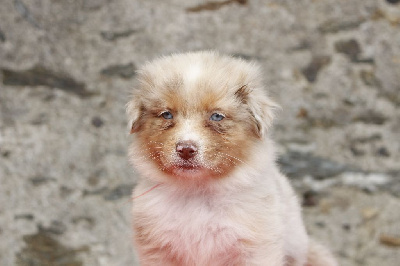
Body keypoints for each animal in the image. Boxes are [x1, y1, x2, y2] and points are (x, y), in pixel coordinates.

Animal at [126, 52, 338, 266]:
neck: (197, 193)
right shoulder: (157, 250)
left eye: (217, 116)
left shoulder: (256, 249)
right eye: (167, 114)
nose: (185, 149)